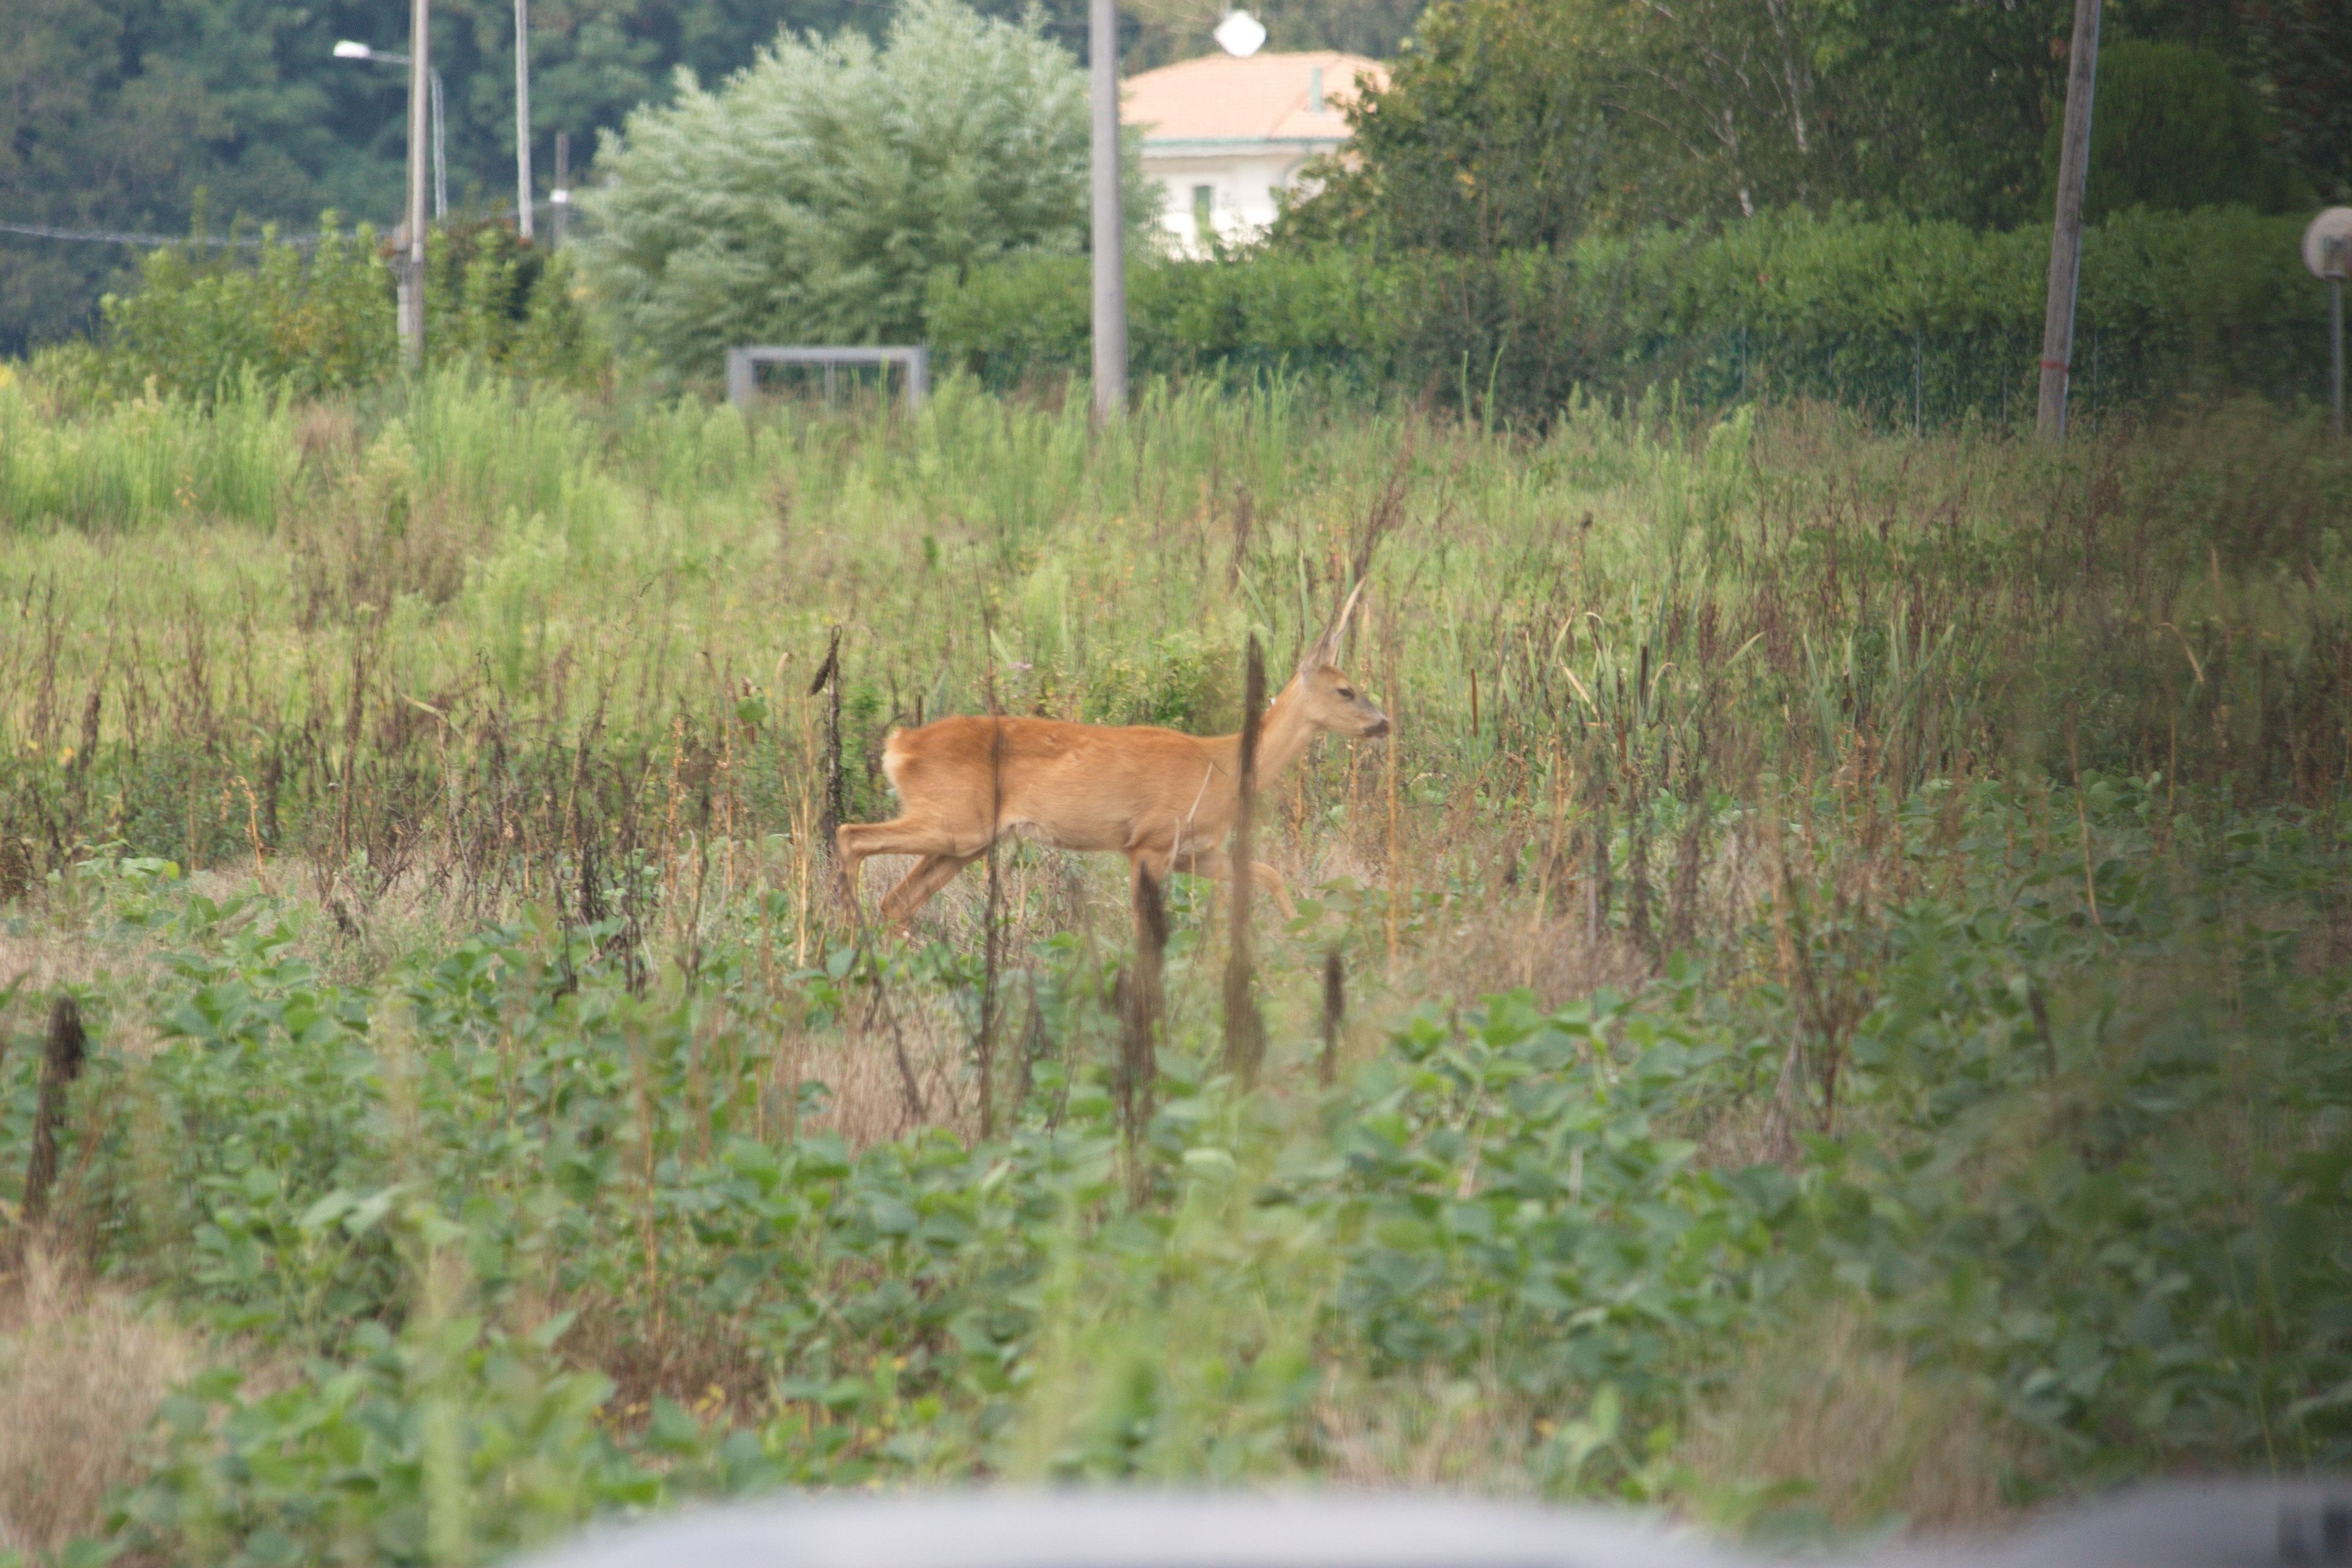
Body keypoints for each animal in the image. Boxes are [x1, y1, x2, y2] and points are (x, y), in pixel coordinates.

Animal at [838, 585, 1390, 928]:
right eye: (1346, 690)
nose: (1384, 722)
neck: (1223, 766)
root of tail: (899, 745)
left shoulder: (1194, 851)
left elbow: (1270, 874)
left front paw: (1303, 937)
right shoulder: (1149, 842)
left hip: (968, 842)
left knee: (896, 900)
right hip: (955, 822)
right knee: (851, 835)